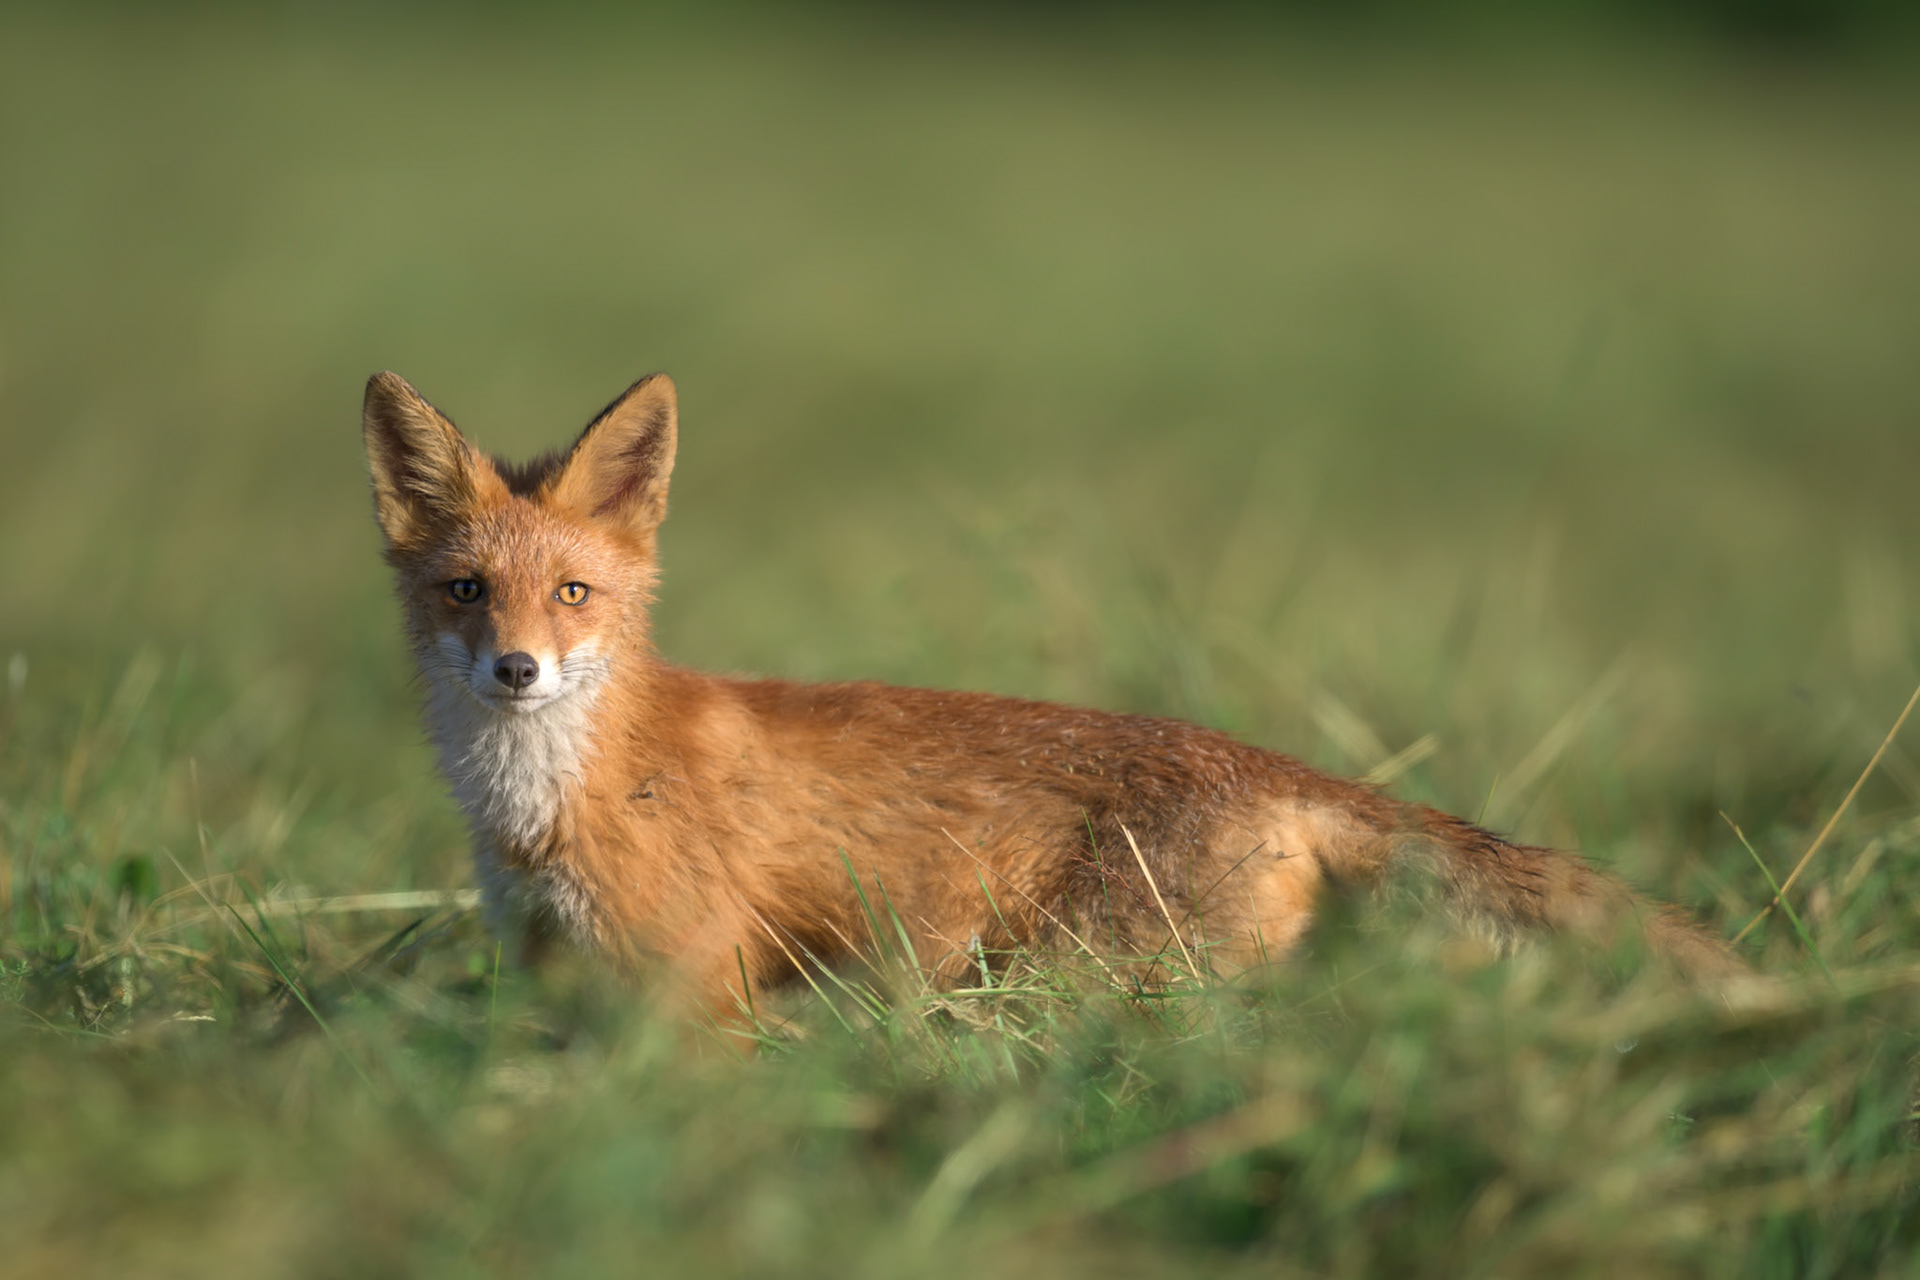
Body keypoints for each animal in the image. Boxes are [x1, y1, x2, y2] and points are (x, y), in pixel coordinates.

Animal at [362, 370, 1749, 1022]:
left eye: (574, 595)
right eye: (467, 590)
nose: (518, 670)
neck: (548, 807)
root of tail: (1275, 764)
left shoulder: (696, 992)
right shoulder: (564, 982)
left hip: (1068, 989)